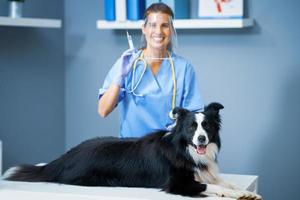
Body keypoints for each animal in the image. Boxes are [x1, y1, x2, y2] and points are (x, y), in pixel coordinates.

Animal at [3, 102, 260, 199]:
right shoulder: (177, 184)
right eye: (191, 127)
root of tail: (63, 158)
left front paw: (246, 192)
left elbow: (226, 182)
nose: (202, 139)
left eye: (206, 126)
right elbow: (211, 186)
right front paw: (236, 194)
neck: (183, 150)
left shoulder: (207, 171)